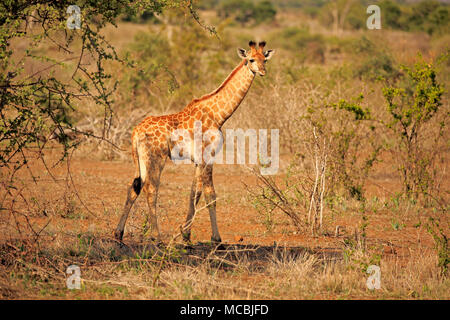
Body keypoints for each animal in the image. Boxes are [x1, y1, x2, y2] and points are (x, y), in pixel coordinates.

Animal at [114, 41, 274, 244]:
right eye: (251, 59)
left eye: (265, 60)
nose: (262, 71)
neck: (218, 116)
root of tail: (135, 132)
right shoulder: (208, 156)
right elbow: (210, 194)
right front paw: (217, 240)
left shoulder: (198, 160)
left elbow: (194, 193)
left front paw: (186, 235)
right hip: (156, 158)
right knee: (151, 188)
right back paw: (156, 237)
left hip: (139, 159)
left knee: (134, 186)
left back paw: (118, 234)